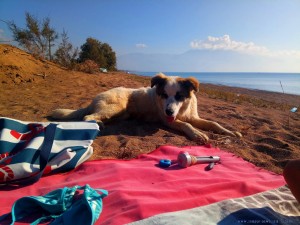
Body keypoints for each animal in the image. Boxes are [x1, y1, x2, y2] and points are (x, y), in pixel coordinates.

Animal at [49, 73, 241, 143]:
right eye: (164, 95)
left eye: (179, 96)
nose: (169, 111)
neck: (181, 110)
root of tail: (94, 98)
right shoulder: (168, 121)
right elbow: (186, 125)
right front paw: (197, 134)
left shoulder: (193, 117)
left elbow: (213, 123)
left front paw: (231, 132)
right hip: (117, 106)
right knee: (87, 117)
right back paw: (97, 125)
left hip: (122, 113)